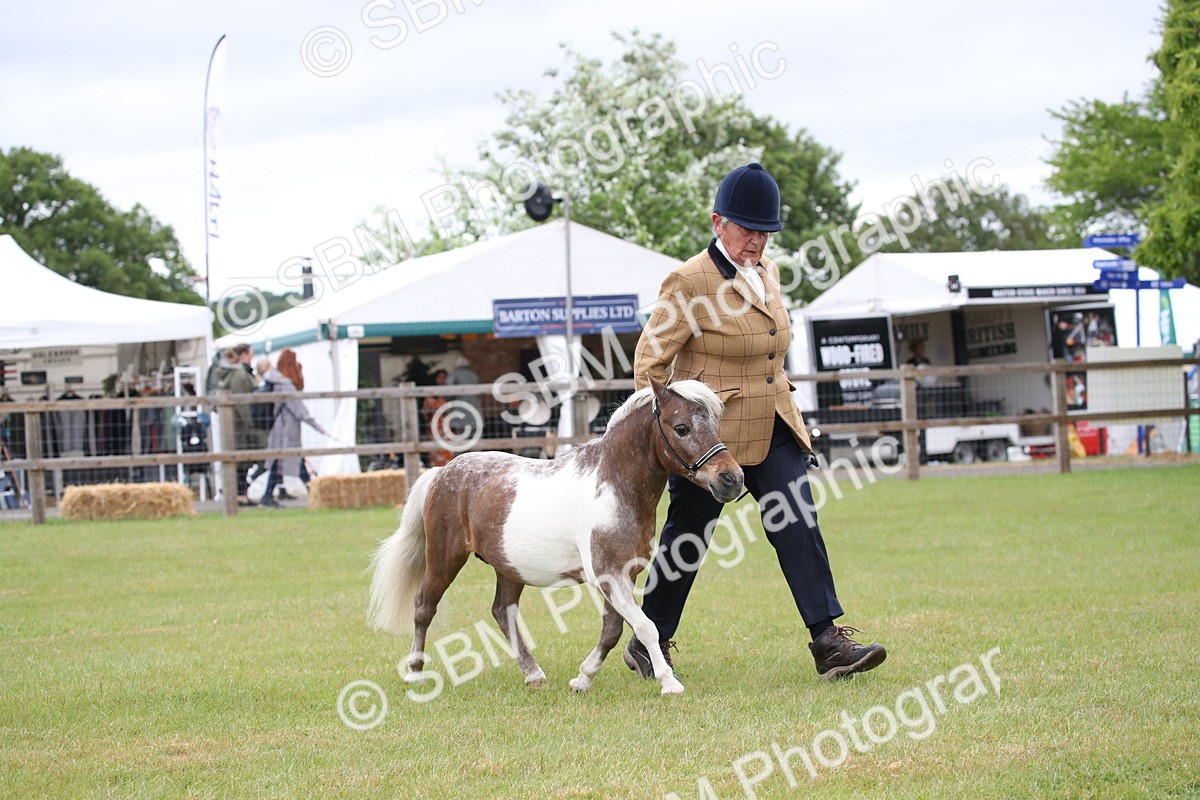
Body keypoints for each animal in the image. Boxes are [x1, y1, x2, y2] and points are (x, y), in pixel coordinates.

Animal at [368, 376, 744, 696]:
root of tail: (442, 471)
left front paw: (582, 679)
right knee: (424, 607)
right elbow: (645, 626)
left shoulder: (624, 574)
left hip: (509, 568)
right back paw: (415, 672)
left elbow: (612, 631)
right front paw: (669, 683)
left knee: (502, 612)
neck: (613, 487)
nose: (732, 479)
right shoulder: (609, 575)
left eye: (715, 425)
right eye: (681, 428)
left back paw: (533, 674)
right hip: (445, 556)